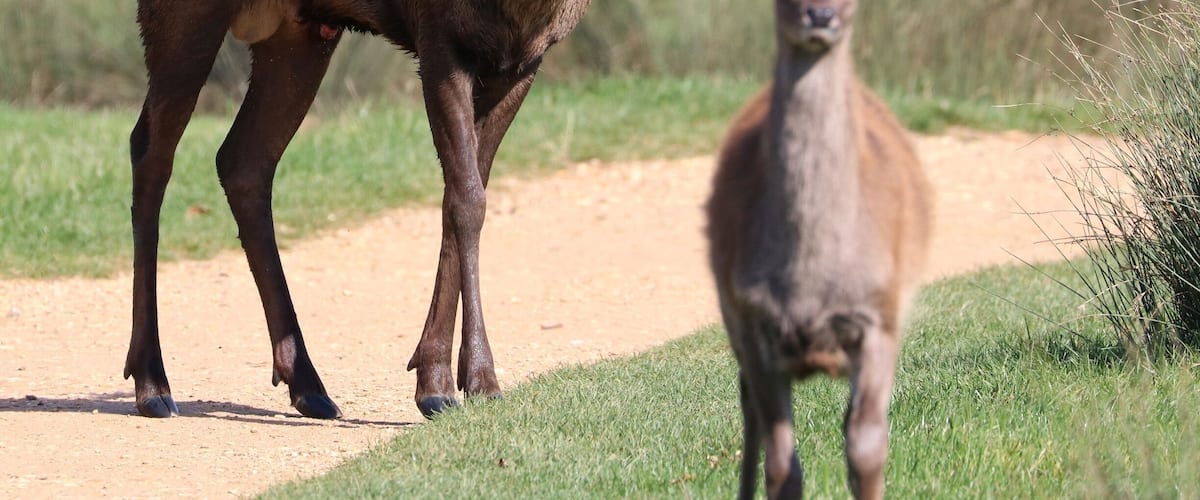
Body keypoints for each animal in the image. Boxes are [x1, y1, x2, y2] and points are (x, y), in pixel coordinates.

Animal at [124, 0, 590, 420]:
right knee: (150, 150)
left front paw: (443, 379)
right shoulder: (440, 37)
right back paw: (153, 384)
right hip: (187, 17)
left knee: (243, 160)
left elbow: (461, 194)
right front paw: (470, 382)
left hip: (299, 35)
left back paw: (307, 385)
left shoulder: (523, 60)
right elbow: (469, 198)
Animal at [706, 0, 932, 498]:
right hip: (730, 314)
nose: (821, 15)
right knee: (747, 402)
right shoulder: (754, 322)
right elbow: (783, 467)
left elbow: (866, 447)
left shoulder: (880, 315)